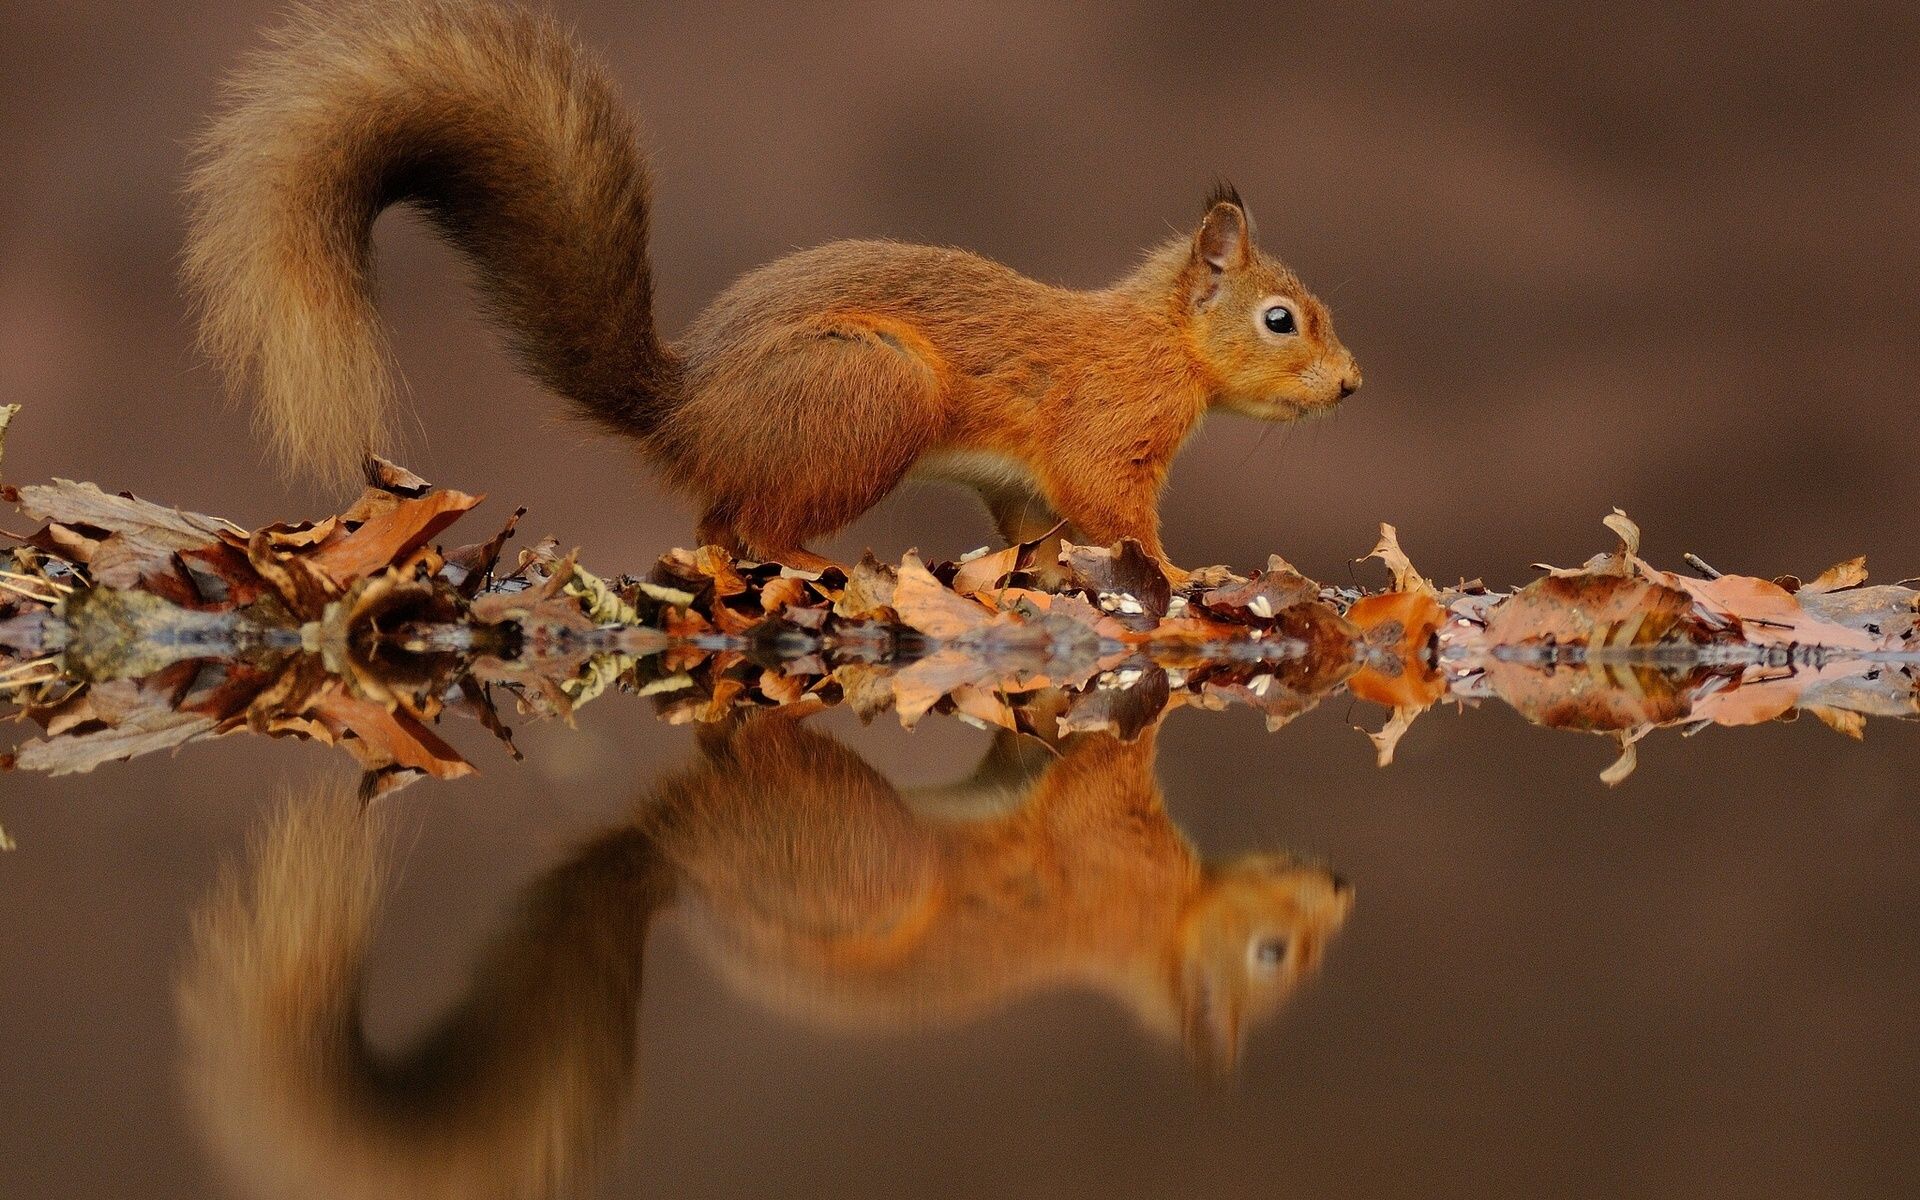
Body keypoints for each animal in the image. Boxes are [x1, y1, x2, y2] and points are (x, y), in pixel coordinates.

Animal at [184, 0, 1360, 574]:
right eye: (1281, 319)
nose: (1351, 387)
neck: (1163, 342)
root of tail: (690, 413)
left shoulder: (1027, 483)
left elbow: (1040, 523)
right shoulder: (1106, 428)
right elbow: (1115, 511)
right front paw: (1187, 578)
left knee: (718, 526)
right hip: (871, 397)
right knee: (758, 526)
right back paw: (827, 561)